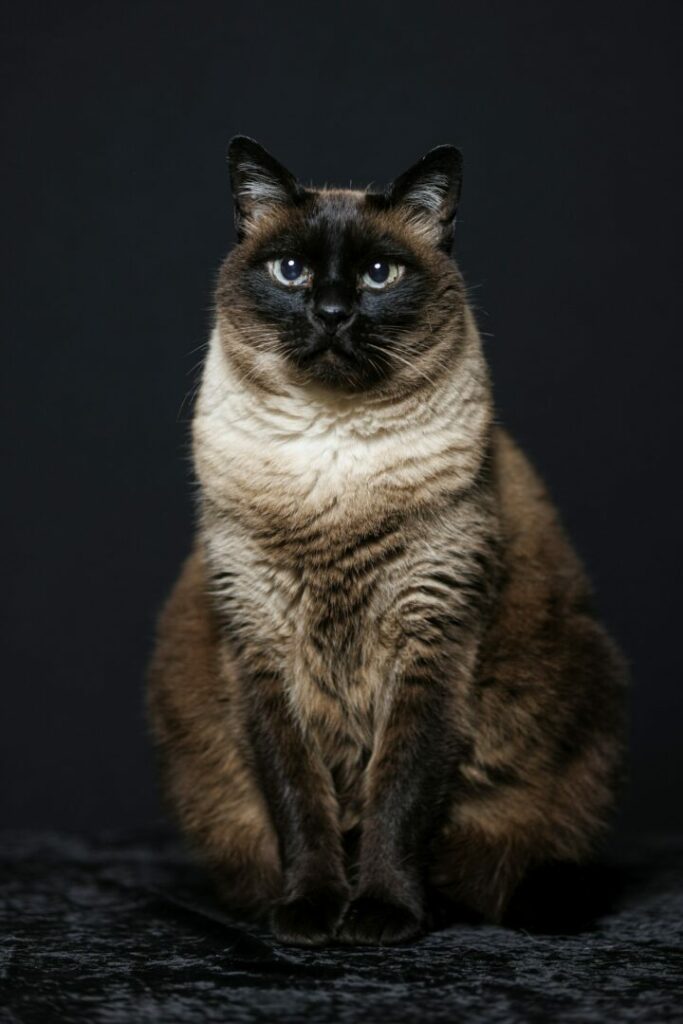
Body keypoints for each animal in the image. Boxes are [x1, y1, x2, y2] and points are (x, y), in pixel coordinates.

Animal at [147, 136, 626, 942]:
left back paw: (456, 902)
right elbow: (300, 804)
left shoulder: (430, 645)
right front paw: (310, 913)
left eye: (380, 274)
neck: (333, 459)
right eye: (291, 270)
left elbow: (397, 801)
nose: (333, 312)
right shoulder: (261, 651)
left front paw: (380, 914)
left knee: (505, 863)